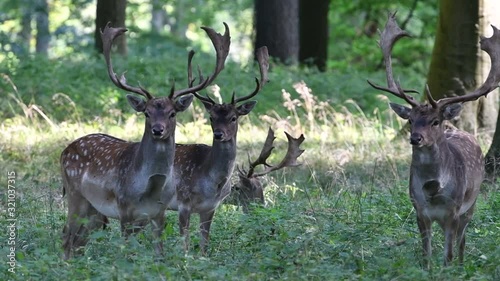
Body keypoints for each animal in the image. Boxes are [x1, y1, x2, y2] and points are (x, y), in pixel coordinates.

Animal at [60, 23, 230, 260]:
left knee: (78, 242)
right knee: (66, 237)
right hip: (75, 194)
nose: (158, 130)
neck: (150, 188)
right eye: (147, 113)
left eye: (172, 113)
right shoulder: (123, 208)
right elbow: (126, 252)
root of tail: (64, 151)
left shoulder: (159, 213)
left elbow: (160, 252)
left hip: (93, 209)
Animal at [166, 46, 270, 254]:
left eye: (233, 117)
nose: (219, 134)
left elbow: (205, 243)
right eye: (212, 117)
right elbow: (185, 243)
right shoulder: (182, 202)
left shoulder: (210, 207)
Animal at [368, 12, 500, 266]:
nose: (416, 138)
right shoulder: (419, 210)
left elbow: (448, 254)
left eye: (435, 121)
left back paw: (462, 265)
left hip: (472, 202)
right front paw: (427, 268)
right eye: (410, 120)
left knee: (462, 241)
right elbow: (426, 254)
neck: (433, 192)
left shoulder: (454, 211)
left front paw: (449, 268)